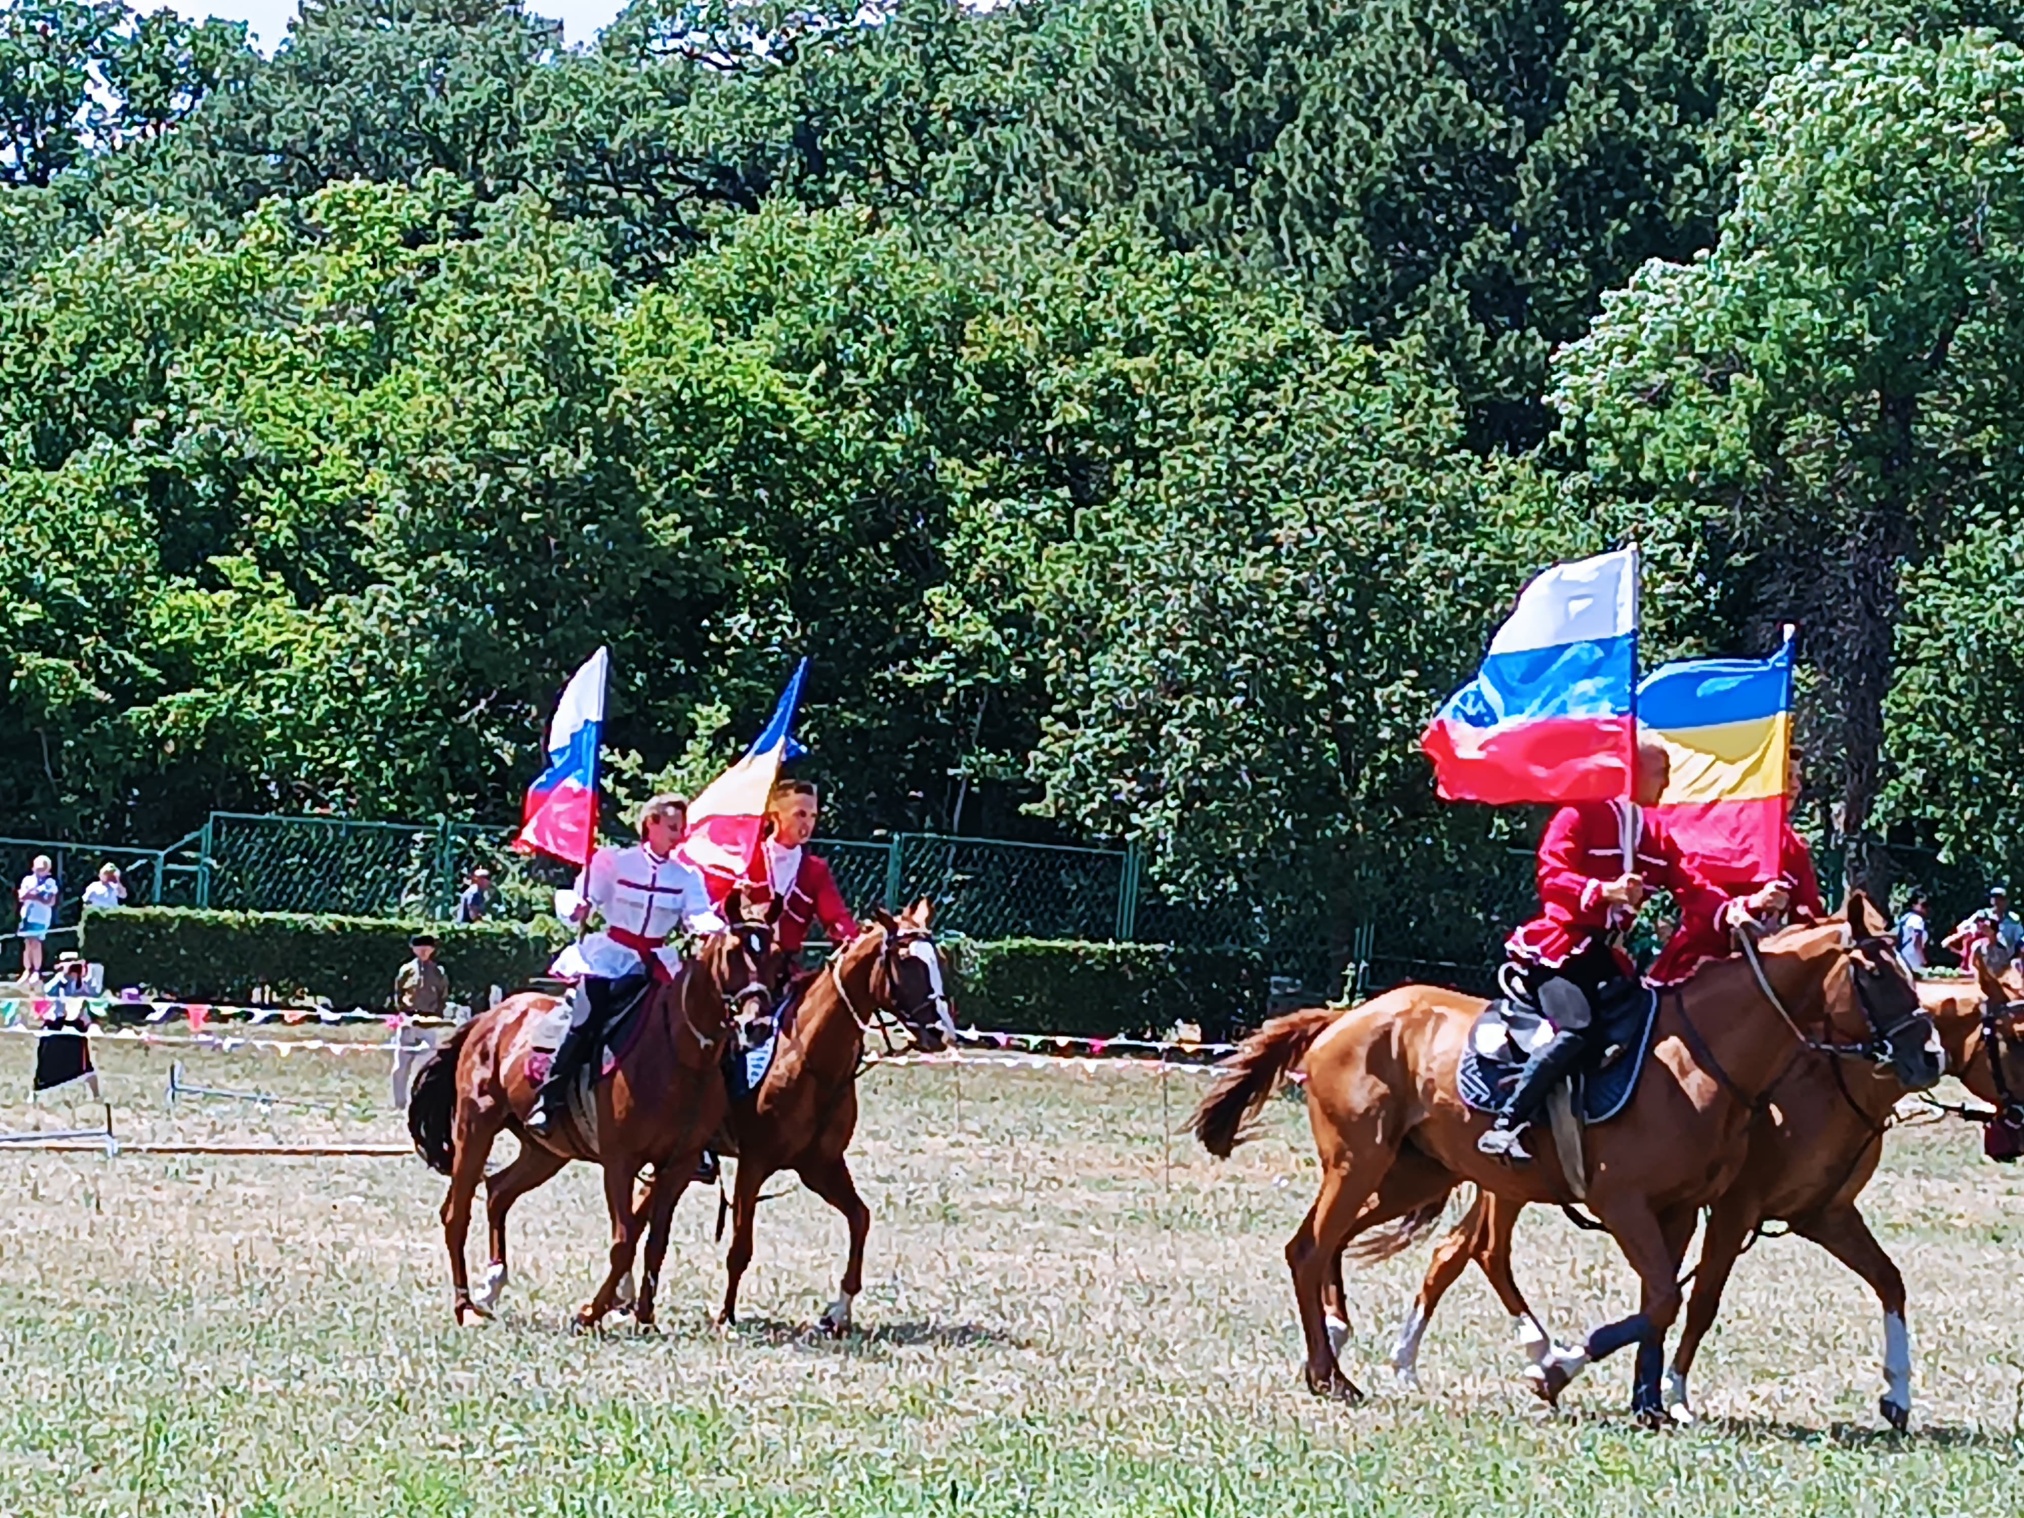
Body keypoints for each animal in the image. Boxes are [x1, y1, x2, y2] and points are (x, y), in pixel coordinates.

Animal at [404, 902, 773, 1327]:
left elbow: (656, 1241)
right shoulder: (620, 1161)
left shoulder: (678, 1165)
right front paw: (592, 1312)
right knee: (456, 1213)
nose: (757, 1026)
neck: (682, 1057)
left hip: (546, 1151)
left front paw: (644, 1316)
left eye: (773, 955)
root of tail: (490, 1018)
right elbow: (624, 1239)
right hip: (475, 1127)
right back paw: (465, 1306)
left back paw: (493, 1282)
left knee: (498, 1192)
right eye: (732, 953)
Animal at [716, 898, 959, 1335]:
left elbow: (860, 1218)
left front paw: (838, 1311)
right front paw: (725, 1315)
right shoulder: (753, 1162)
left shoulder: (820, 1165)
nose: (940, 1032)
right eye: (906, 962)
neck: (809, 1061)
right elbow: (741, 1244)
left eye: (941, 961)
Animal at [1182, 898, 1943, 1424]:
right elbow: (1673, 1299)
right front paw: (1559, 1372)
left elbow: (1663, 1303)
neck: (1701, 1059)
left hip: (1412, 1174)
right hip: (1361, 1163)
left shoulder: (1686, 1211)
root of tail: (1346, 1018)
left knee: (1358, 1245)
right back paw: (1332, 1373)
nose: (1927, 1055)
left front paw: (1645, 1400)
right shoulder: (1641, 1205)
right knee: (1318, 1247)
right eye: (1876, 972)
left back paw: (1350, 1344)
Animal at [1384, 955, 2015, 1432]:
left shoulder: (1823, 1213)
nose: (1929, 1058)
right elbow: (1700, 1299)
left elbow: (1888, 1280)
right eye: (2014, 1036)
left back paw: (1422, 1361)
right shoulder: (1734, 1210)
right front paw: (1671, 1390)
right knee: (1481, 1251)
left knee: (1459, 1252)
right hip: (1509, 1187)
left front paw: (1897, 1396)